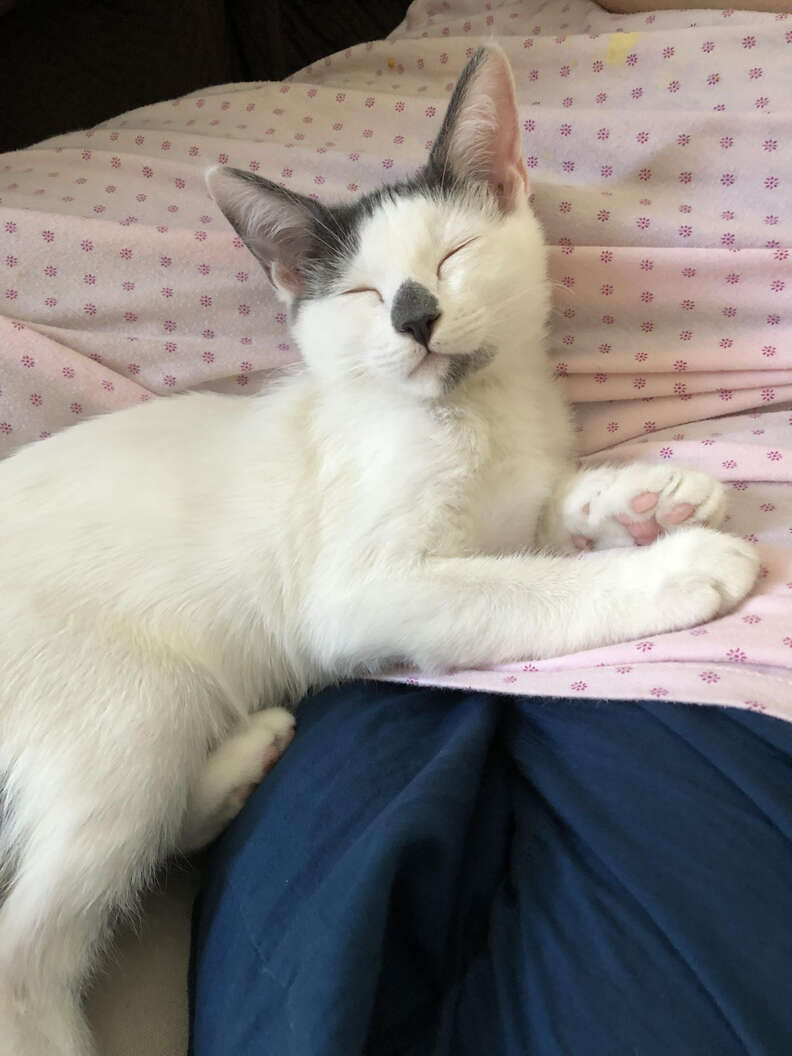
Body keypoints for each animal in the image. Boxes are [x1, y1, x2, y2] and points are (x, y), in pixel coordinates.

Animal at [0, 43, 756, 1056]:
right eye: (361, 294)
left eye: (454, 255)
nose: (415, 314)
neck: (475, 414)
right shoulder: (358, 592)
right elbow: (520, 586)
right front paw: (675, 564)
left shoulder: (508, 496)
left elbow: (538, 521)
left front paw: (648, 498)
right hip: (120, 709)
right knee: (27, 951)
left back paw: (239, 761)